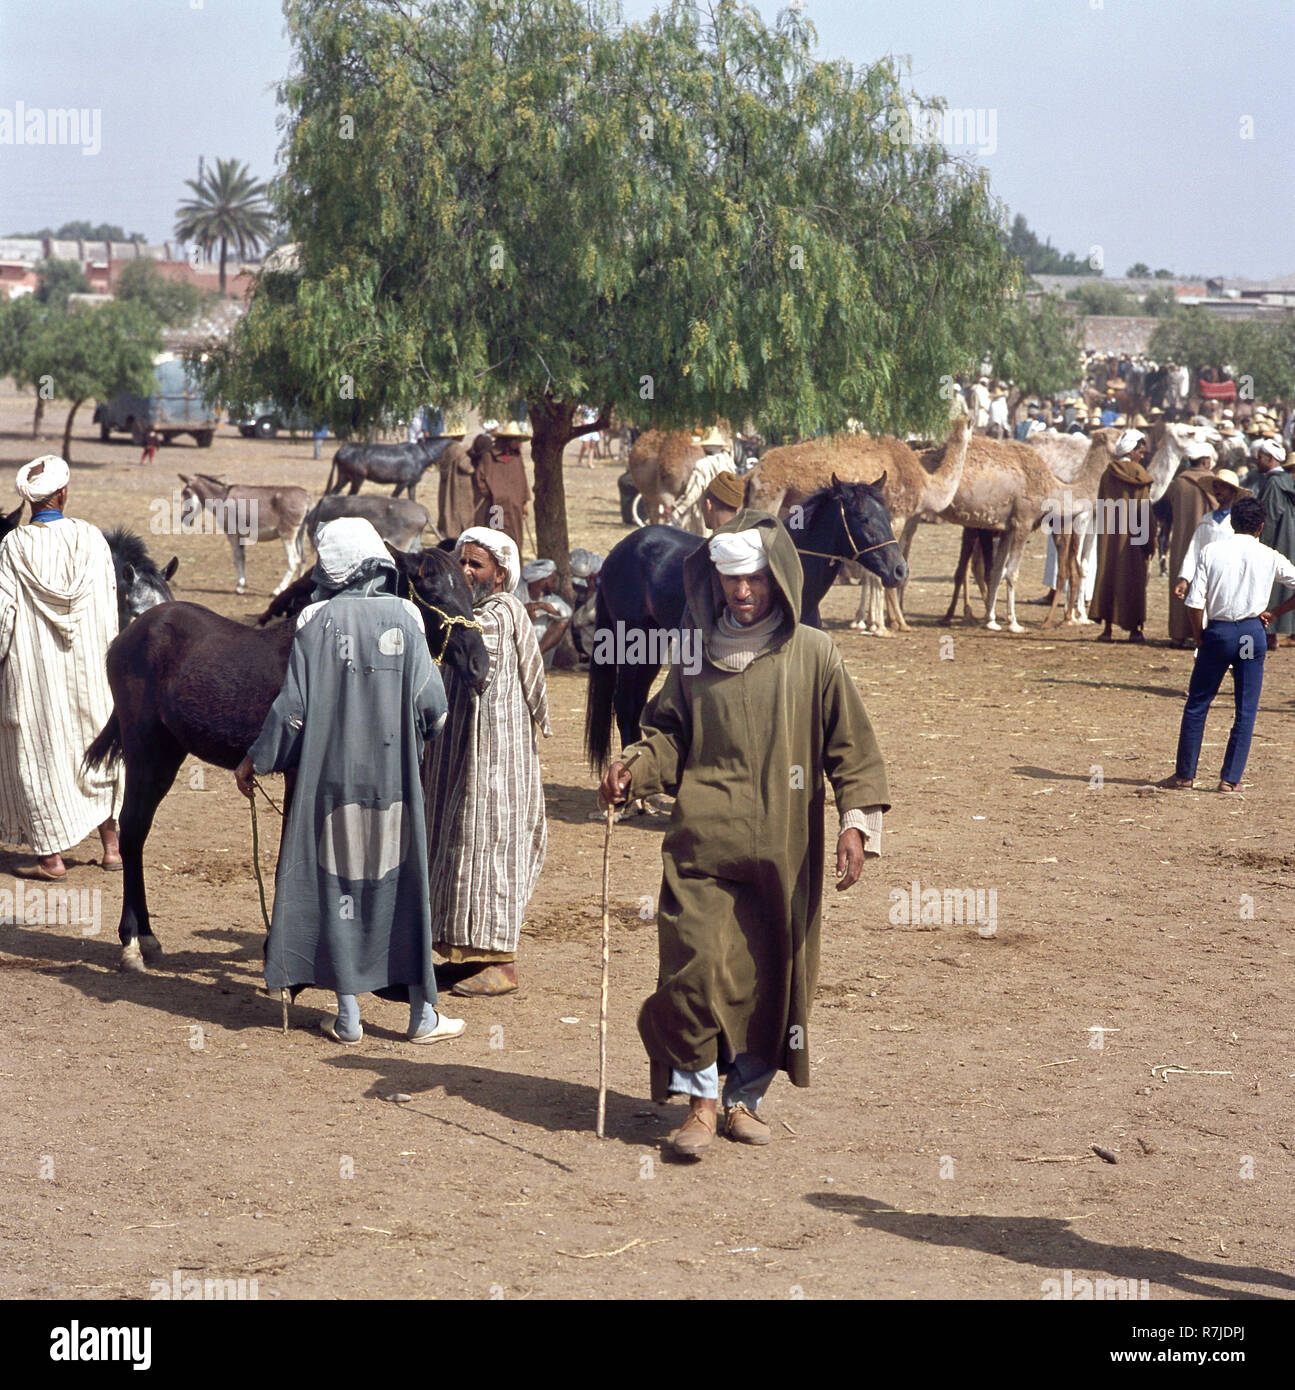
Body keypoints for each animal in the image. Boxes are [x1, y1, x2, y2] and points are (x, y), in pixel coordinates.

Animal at [84, 547, 491, 973]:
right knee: (131, 830)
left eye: (469, 591)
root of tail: (129, 635)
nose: (480, 665)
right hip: (144, 749)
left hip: (168, 751)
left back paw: (146, 937)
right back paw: (132, 940)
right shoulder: (300, 773)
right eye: (432, 591)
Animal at [580, 480, 905, 772]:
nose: (899, 570)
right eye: (862, 517)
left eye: (887, 516)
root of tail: (620, 551)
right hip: (630, 643)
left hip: (654, 642)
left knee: (635, 704)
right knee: (625, 705)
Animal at [744, 411, 967, 631]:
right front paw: (888, 624)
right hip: (767, 500)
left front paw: (869, 620)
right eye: (862, 518)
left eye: (884, 515)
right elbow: (877, 577)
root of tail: (753, 472)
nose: (901, 571)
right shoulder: (901, 518)